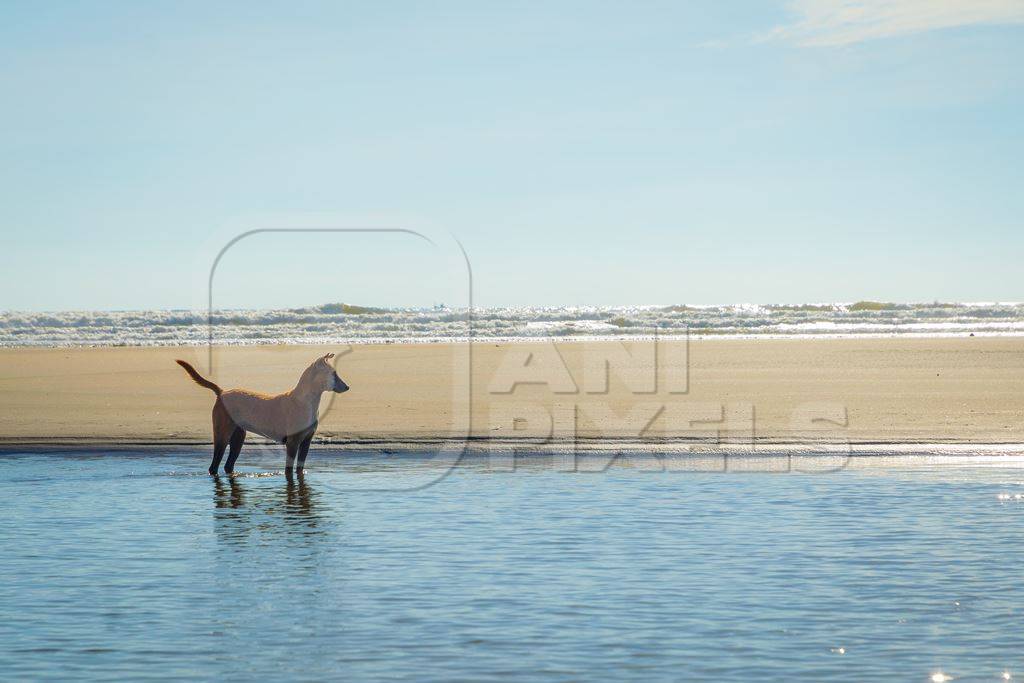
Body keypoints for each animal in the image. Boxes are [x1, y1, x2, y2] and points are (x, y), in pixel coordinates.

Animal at [178, 356, 350, 479]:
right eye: (334, 374)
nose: (348, 387)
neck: (306, 401)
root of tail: (222, 392)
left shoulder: (306, 441)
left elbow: (299, 469)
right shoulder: (293, 443)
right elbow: (288, 470)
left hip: (238, 435)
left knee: (228, 464)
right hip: (222, 433)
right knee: (214, 465)